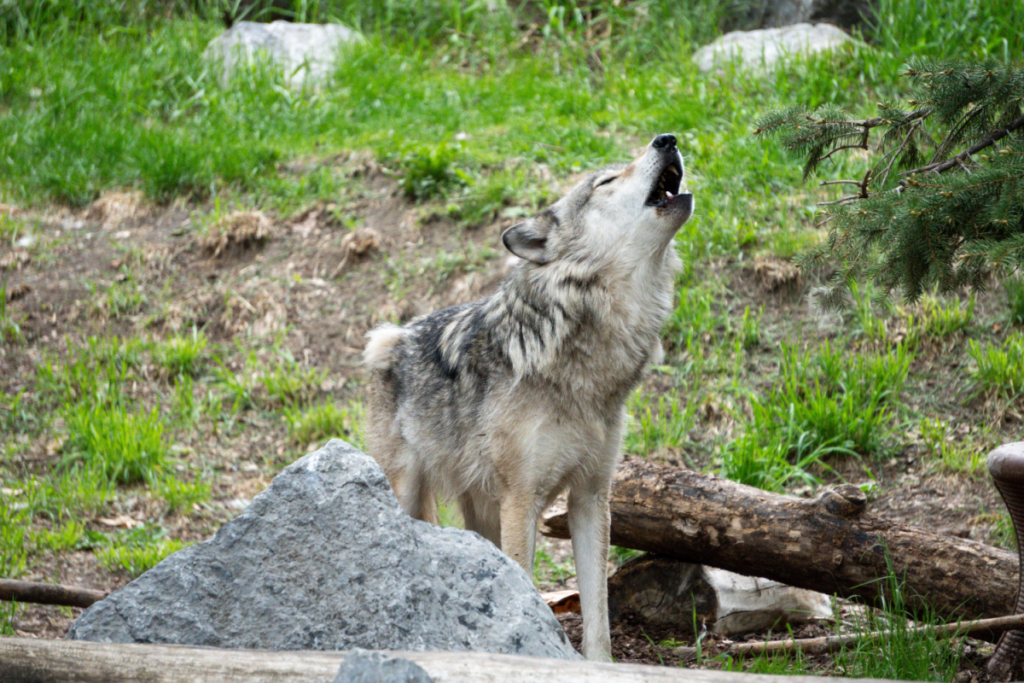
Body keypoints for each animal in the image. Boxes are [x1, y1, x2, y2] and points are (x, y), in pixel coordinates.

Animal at [363, 134, 693, 660]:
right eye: (606, 181)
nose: (667, 139)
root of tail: (393, 337)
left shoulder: (591, 496)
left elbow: (597, 614)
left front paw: (598, 665)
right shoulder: (522, 500)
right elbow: (525, 585)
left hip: (481, 510)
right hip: (410, 492)